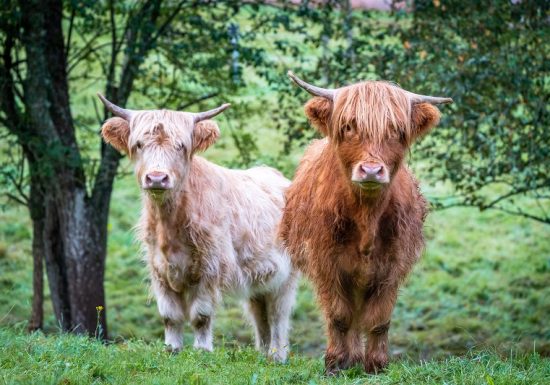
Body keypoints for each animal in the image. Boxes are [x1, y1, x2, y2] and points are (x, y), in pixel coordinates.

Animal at [280, 71, 452, 372]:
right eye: (349, 127)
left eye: (396, 130)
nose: (371, 170)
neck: (366, 219)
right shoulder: (327, 265)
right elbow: (339, 316)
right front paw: (336, 363)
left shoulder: (391, 267)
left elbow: (379, 319)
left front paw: (376, 365)